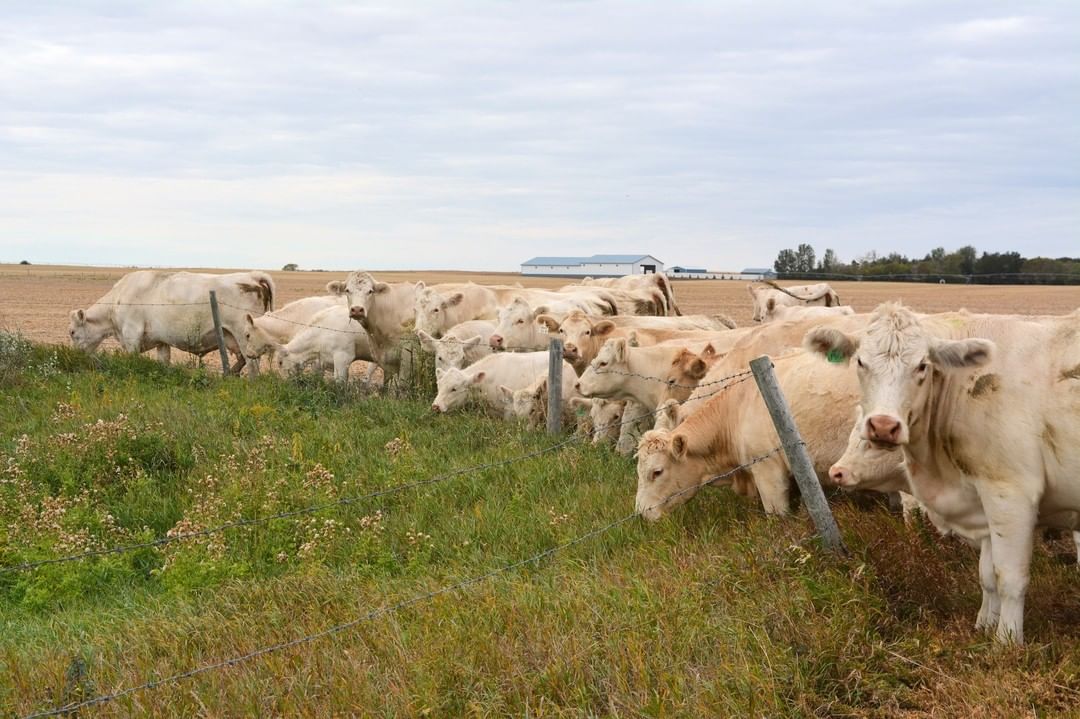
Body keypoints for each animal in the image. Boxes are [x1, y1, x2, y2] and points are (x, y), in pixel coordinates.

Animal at [68, 267, 274, 371]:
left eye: (72, 332)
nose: (74, 357)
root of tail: (252, 275)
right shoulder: (162, 341)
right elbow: (164, 361)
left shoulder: (131, 335)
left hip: (244, 336)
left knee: (252, 365)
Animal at [807, 302, 1080, 643]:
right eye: (860, 361)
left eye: (922, 366)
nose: (883, 425)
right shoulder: (982, 500)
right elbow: (987, 574)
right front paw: (983, 626)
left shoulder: (1010, 494)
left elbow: (1009, 578)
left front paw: (1006, 641)